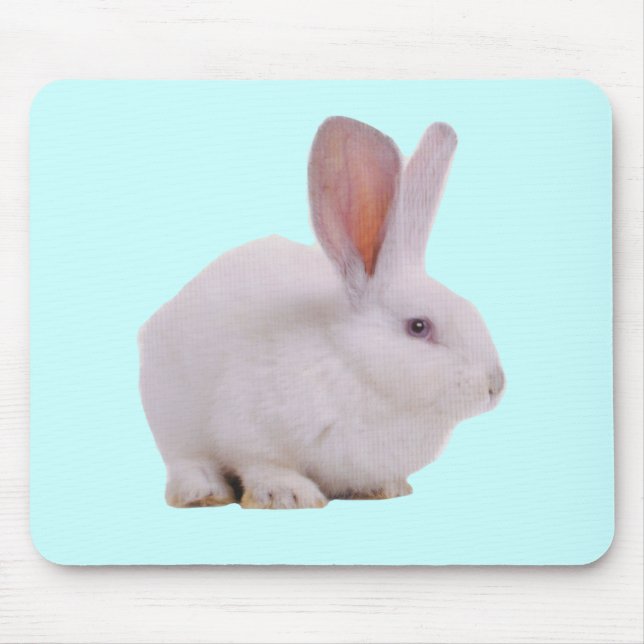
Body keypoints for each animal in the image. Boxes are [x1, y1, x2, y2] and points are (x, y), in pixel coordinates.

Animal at [138, 116, 505, 509]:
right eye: (419, 326)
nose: (496, 385)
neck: (355, 368)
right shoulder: (247, 428)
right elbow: (263, 464)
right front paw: (288, 494)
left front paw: (385, 488)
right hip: (171, 414)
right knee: (186, 460)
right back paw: (203, 492)